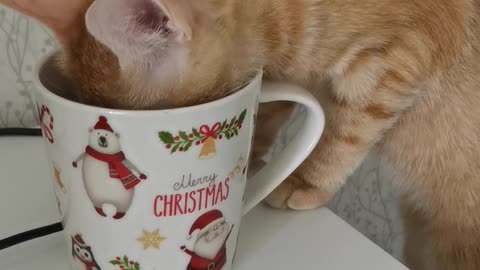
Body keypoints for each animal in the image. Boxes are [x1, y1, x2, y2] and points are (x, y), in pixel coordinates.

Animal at [1, 0, 478, 268]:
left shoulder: (400, 56)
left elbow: (346, 129)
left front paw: (304, 180)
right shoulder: (285, 73)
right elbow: (271, 111)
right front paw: (259, 161)